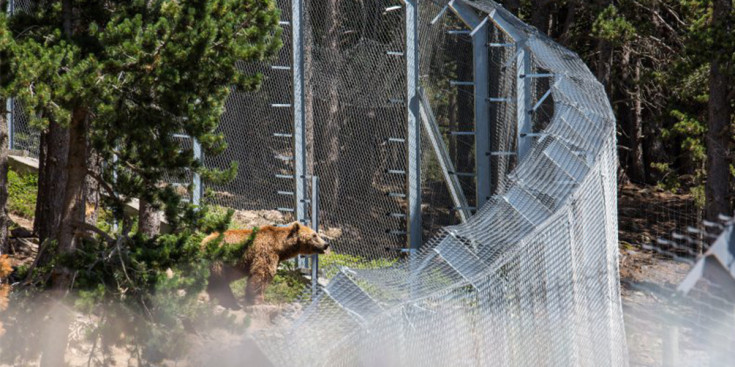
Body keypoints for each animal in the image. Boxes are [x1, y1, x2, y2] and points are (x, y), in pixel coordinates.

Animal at [200, 223, 330, 310]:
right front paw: (258, 300)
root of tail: (203, 241)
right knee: (219, 279)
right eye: (314, 235)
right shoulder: (266, 252)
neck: (280, 247)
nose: (326, 244)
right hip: (218, 259)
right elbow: (262, 274)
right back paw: (229, 301)